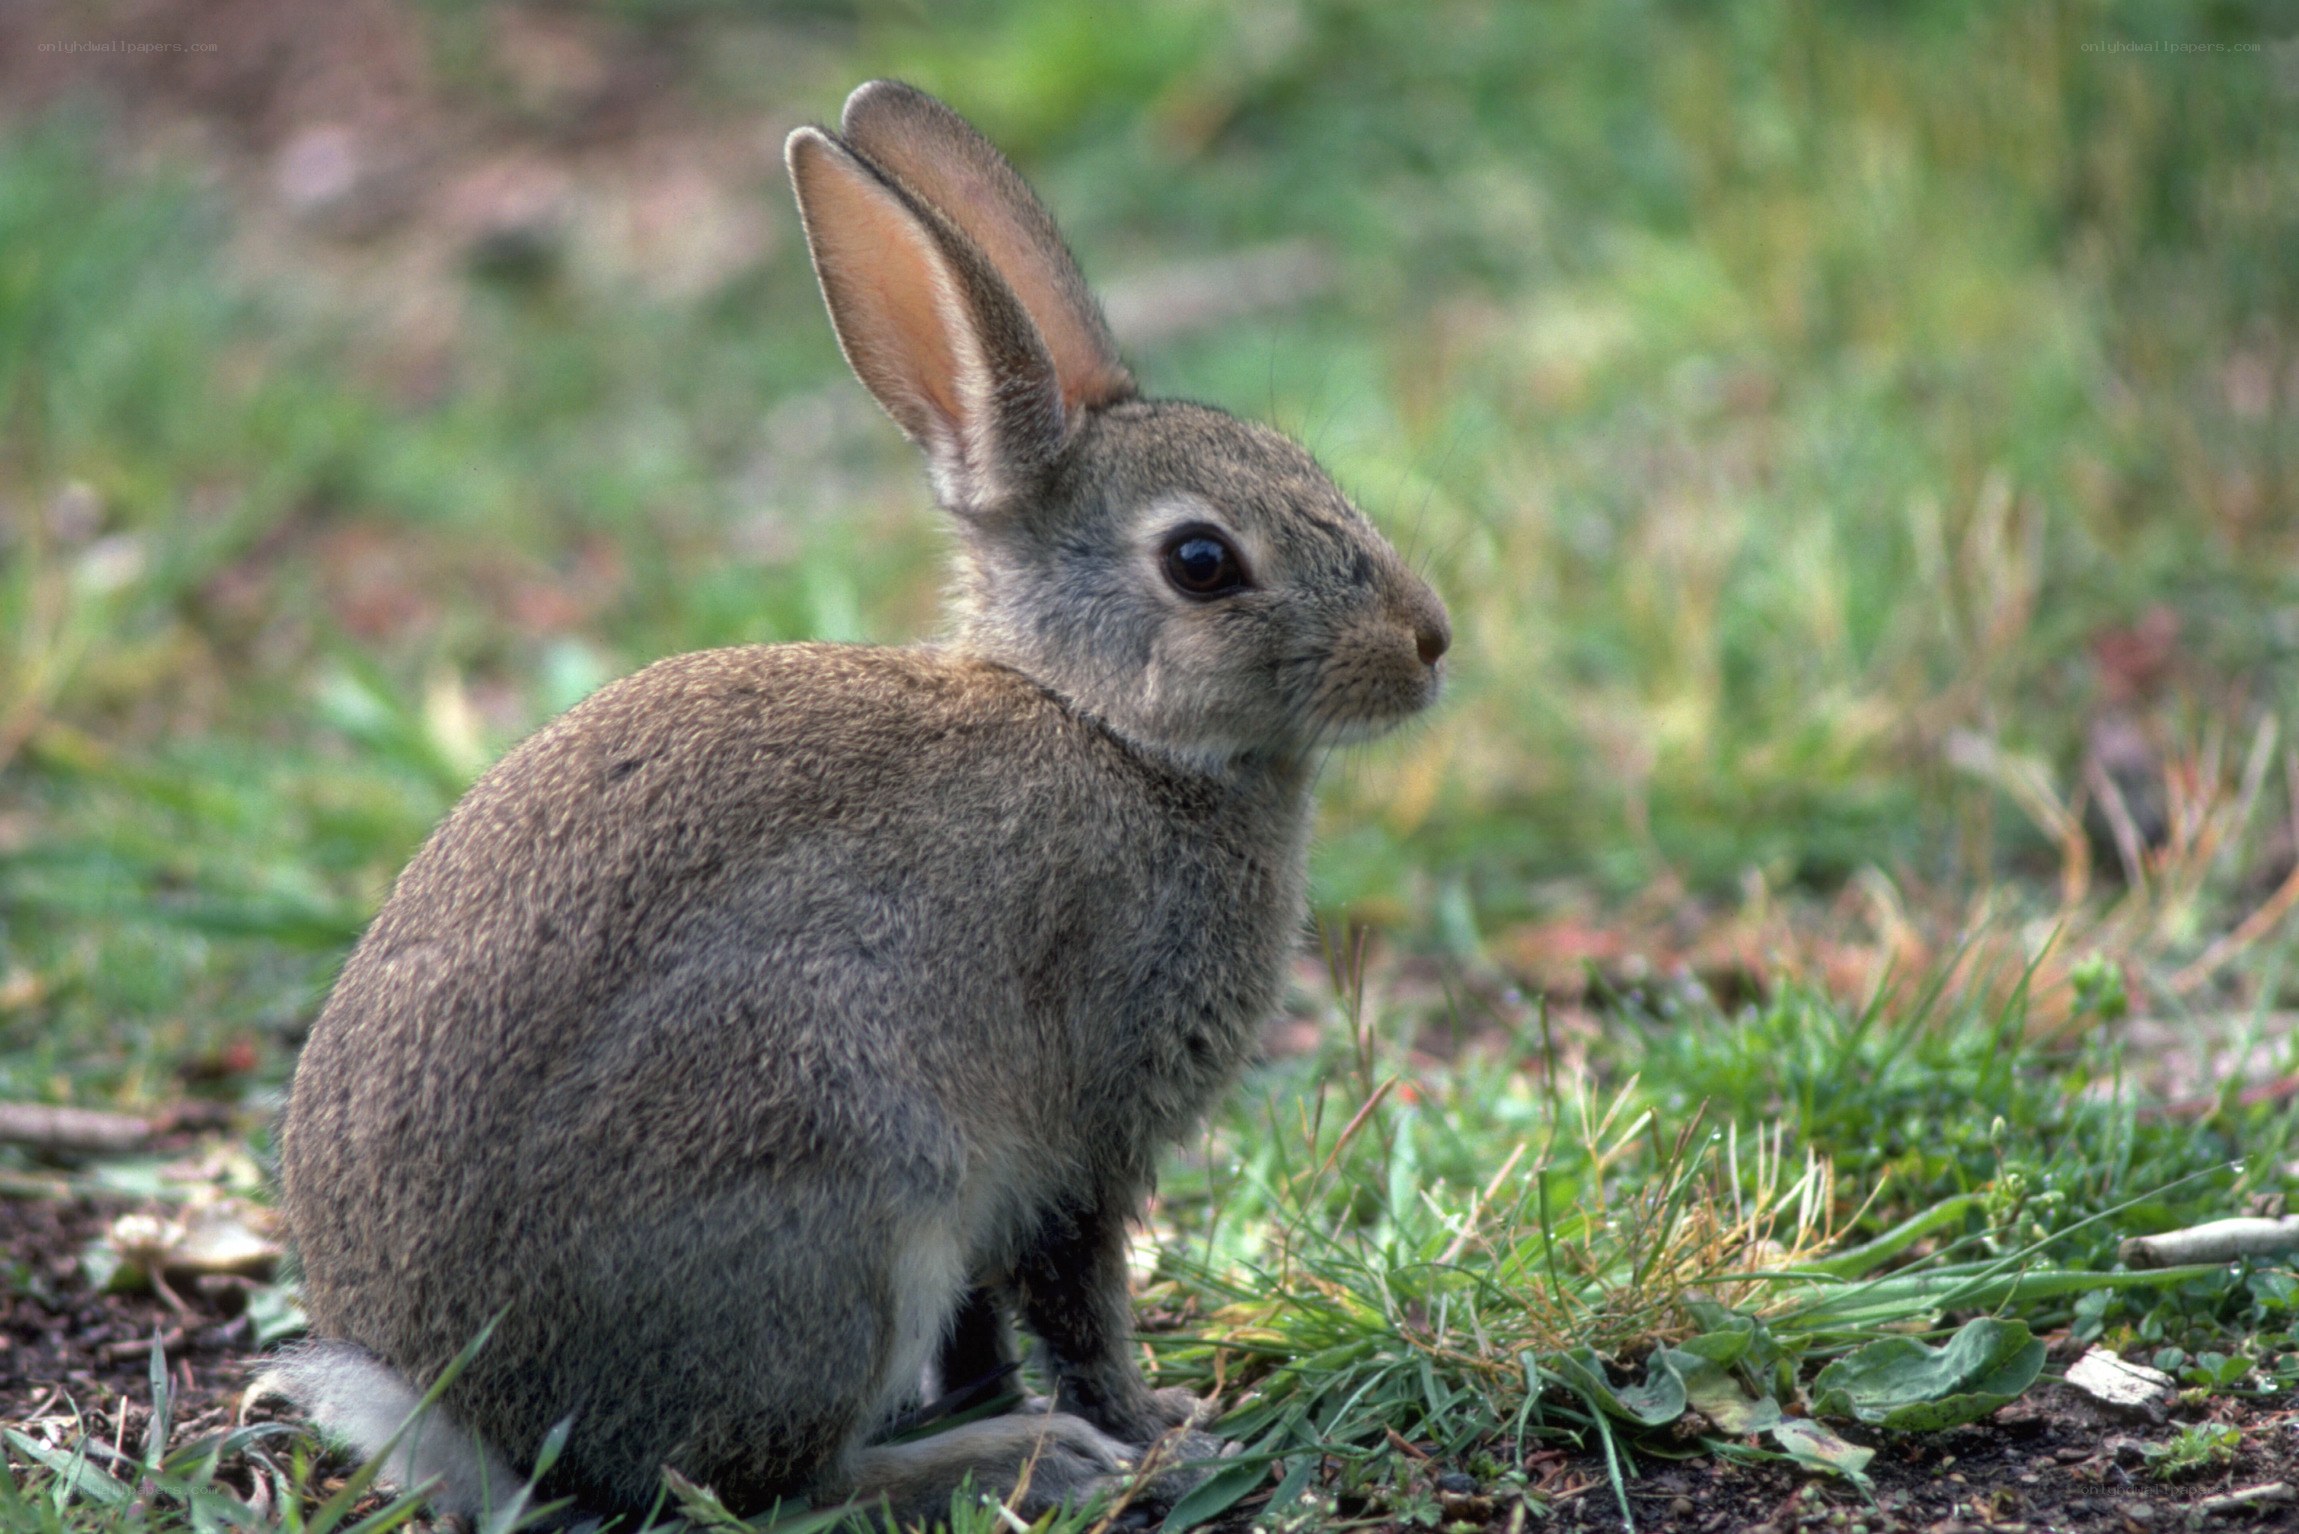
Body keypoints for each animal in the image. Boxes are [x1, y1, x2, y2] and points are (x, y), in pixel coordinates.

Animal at [263, 79, 1449, 1525]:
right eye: (1202, 561)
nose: (1426, 642)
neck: (1109, 729)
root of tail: (474, 1419)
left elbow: (988, 1326)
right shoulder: (1083, 1136)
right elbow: (1080, 1301)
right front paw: (1161, 1429)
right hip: (848, 1194)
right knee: (757, 1484)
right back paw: (1019, 1460)